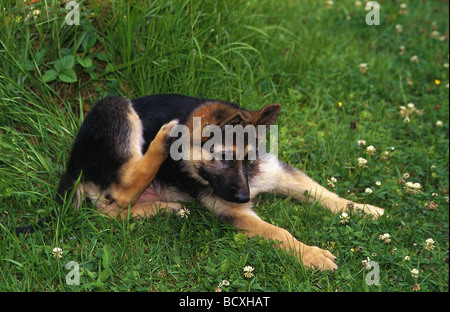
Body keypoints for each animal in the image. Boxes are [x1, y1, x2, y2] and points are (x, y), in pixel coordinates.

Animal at [16, 94, 384, 270]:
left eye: (248, 159)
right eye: (222, 158)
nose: (244, 197)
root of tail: (73, 163)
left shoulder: (276, 172)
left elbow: (320, 191)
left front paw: (361, 208)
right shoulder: (232, 210)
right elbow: (278, 232)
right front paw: (311, 254)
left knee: (109, 209)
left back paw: (166, 208)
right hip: (115, 107)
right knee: (119, 191)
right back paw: (162, 142)